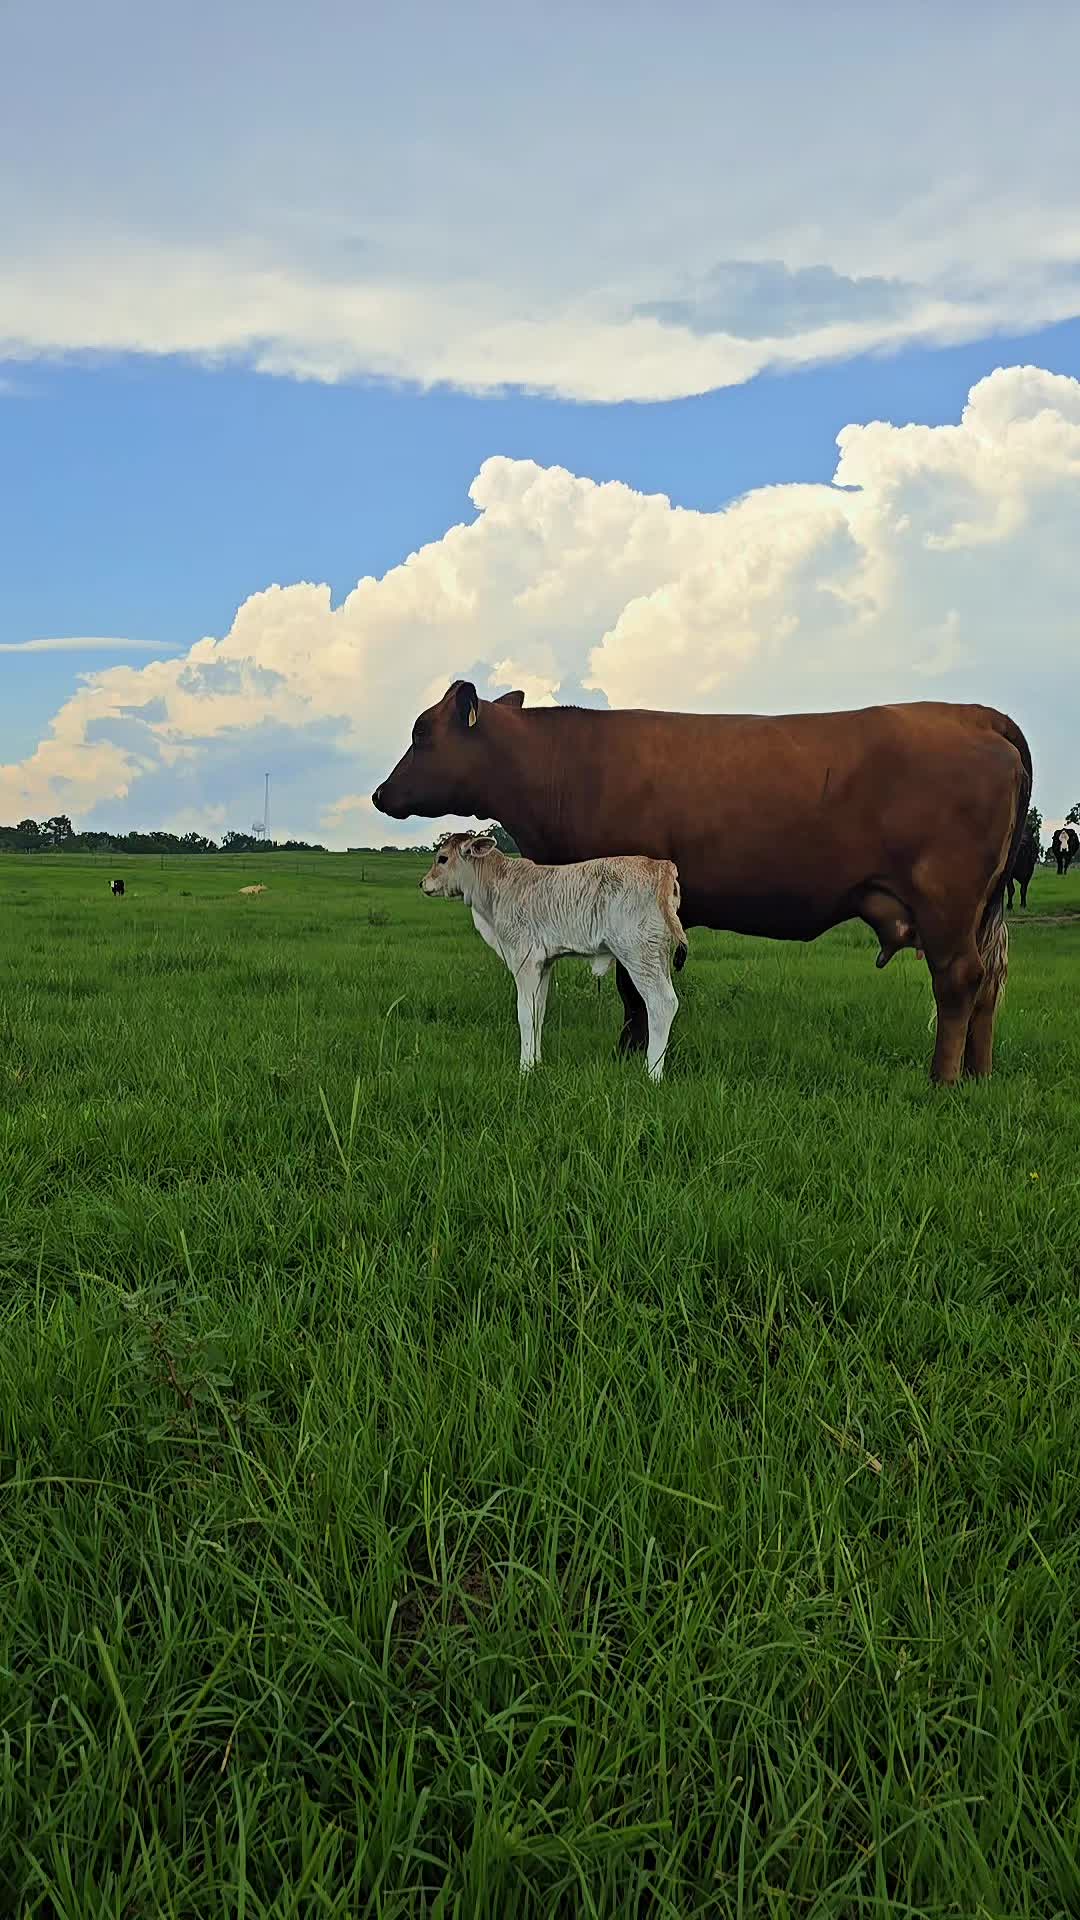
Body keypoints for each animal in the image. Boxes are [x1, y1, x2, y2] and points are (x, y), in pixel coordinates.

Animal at [421, 830, 687, 1077]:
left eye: (442, 858)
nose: (422, 883)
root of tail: (661, 866)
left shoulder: (525, 961)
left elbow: (525, 1014)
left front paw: (525, 1069)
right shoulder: (544, 964)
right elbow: (538, 1012)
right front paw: (536, 1062)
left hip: (639, 954)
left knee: (662, 1003)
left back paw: (653, 1074)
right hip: (657, 955)